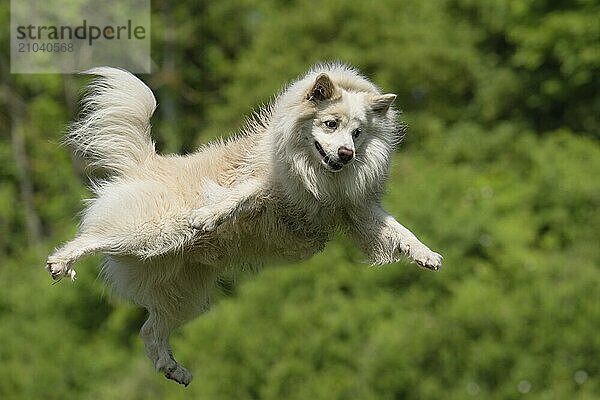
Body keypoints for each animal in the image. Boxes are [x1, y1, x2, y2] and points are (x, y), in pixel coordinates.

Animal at [45, 62, 440, 384]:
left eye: (358, 133)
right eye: (330, 124)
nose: (347, 154)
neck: (317, 174)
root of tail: (148, 162)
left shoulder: (358, 210)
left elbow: (398, 230)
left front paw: (426, 255)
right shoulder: (267, 183)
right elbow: (240, 197)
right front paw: (207, 215)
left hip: (186, 294)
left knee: (149, 330)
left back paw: (175, 370)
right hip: (151, 233)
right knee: (93, 238)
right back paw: (61, 262)